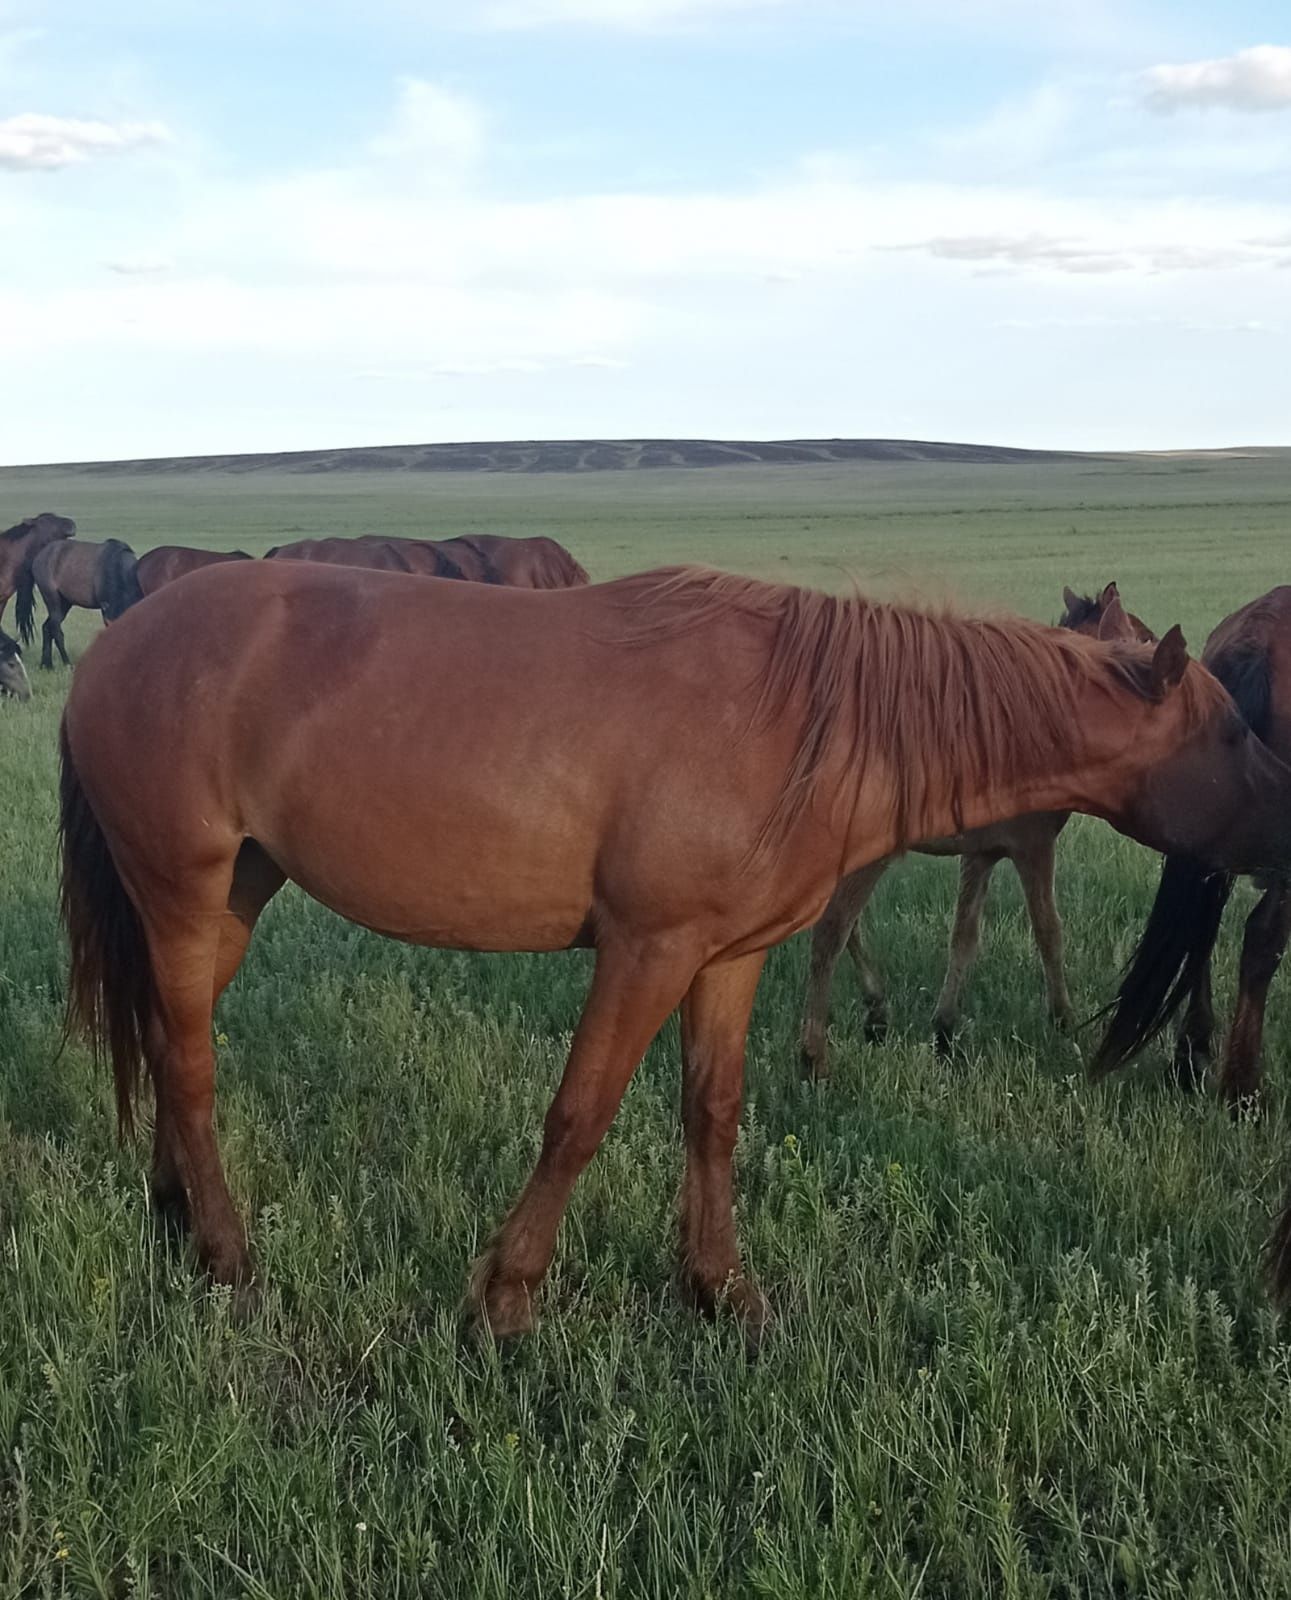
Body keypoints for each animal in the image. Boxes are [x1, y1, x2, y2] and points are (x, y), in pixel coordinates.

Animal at [17, 534, 142, 665]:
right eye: (108, 625)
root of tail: (39, 556)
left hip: (65, 603)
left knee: (47, 627)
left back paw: (46, 664)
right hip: (52, 599)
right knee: (56, 630)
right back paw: (67, 663)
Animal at [803, 582, 1158, 1068]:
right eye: (1142, 636)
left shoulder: (981, 852)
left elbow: (964, 934)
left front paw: (944, 1029)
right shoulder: (1033, 846)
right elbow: (1049, 930)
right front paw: (1064, 1021)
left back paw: (875, 1011)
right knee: (832, 930)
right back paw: (818, 1054)